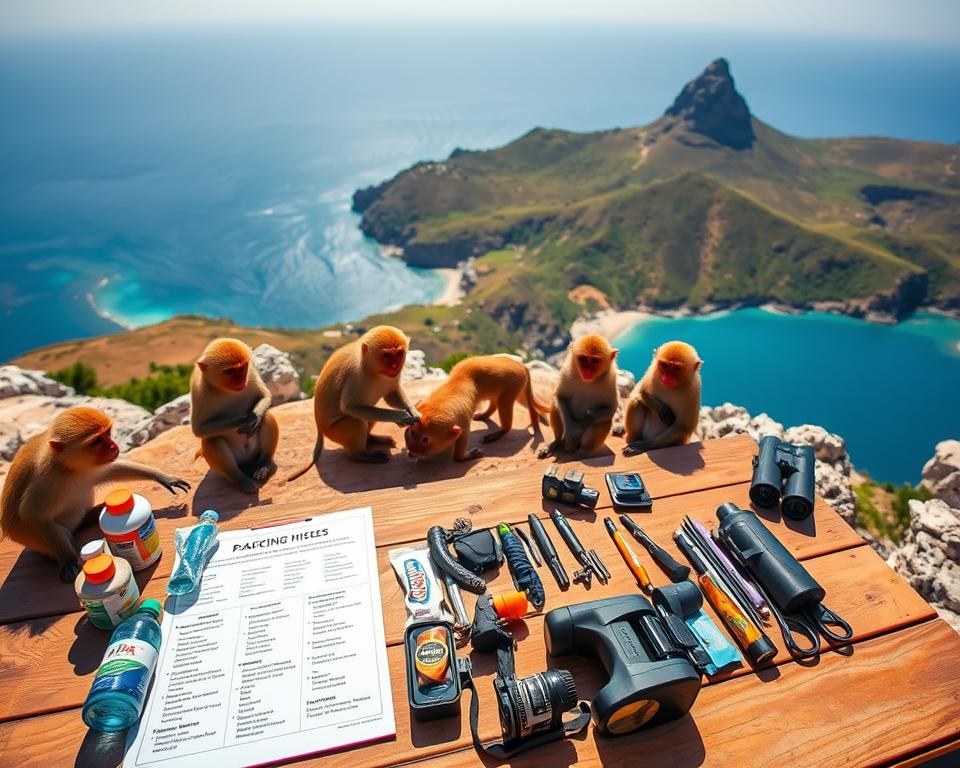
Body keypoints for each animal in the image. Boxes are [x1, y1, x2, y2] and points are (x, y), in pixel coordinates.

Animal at [0, 406, 190, 582]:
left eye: (108, 434)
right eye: (97, 440)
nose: (113, 445)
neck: (70, 467)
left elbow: (113, 470)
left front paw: (162, 477)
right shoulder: (47, 479)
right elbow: (32, 515)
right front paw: (67, 556)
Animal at [190, 338, 279, 495]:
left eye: (242, 367)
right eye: (229, 371)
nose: (240, 381)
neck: (224, 389)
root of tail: (247, 462)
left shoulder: (251, 374)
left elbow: (265, 395)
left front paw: (255, 417)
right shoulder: (199, 391)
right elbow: (199, 429)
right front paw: (243, 420)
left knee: (267, 416)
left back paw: (264, 463)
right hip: (237, 463)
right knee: (211, 440)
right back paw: (240, 479)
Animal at [287, 325, 419, 478]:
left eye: (399, 353)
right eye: (386, 355)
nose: (394, 366)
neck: (371, 367)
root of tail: (319, 427)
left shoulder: (392, 376)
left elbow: (391, 395)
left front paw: (412, 410)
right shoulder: (356, 375)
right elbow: (350, 407)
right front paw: (398, 416)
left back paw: (371, 438)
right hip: (334, 432)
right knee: (355, 422)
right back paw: (361, 455)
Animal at [404, 355, 547, 461]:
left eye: (425, 440)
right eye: (412, 432)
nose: (411, 451)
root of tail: (523, 366)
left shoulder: (462, 420)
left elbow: (463, 436)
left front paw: (464, 456)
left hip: (514, 383)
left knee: (505, 403)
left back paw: (500, 432)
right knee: (503, 402)